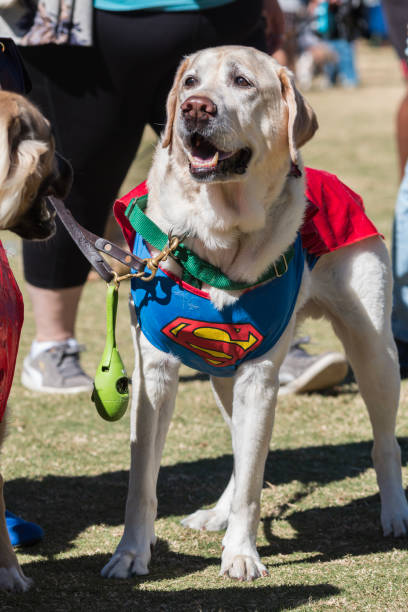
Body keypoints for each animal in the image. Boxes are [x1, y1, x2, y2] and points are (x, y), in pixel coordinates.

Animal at [103, 45, 408, 580]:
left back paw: (394, 513)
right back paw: (216, 514)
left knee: (384, 442)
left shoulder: (260, 376)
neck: (217, 238)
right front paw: (130, 553)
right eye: (190, 82)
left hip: (375, 350)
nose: (195, 108)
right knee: (237, 448)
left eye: (243, 82)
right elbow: (142, 481)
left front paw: (242, 554)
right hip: (223, 376)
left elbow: (251, 479)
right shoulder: (153, 371)